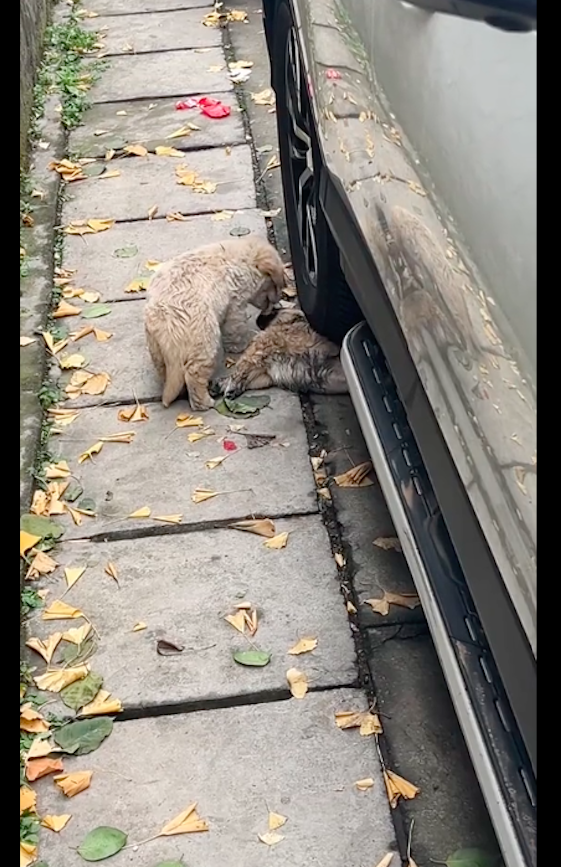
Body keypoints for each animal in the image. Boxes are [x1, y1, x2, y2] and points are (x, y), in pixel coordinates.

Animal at [143, 236, 284, 412]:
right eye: (275, 285)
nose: (279, 299)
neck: (241, 258)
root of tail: (164, 320)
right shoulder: (235, 305)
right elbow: (236, 329)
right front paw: (243, 344)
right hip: (205, 340)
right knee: (193, 374)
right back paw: (204, 403)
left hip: (157, 349)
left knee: (169, 373)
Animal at [210, 306, 348, 398]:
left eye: (273, 310)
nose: (258, 318)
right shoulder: (266, 374)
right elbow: (247, 378)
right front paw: (222, 385)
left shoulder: (257, 353)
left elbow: (239, 372)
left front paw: (228, 385)